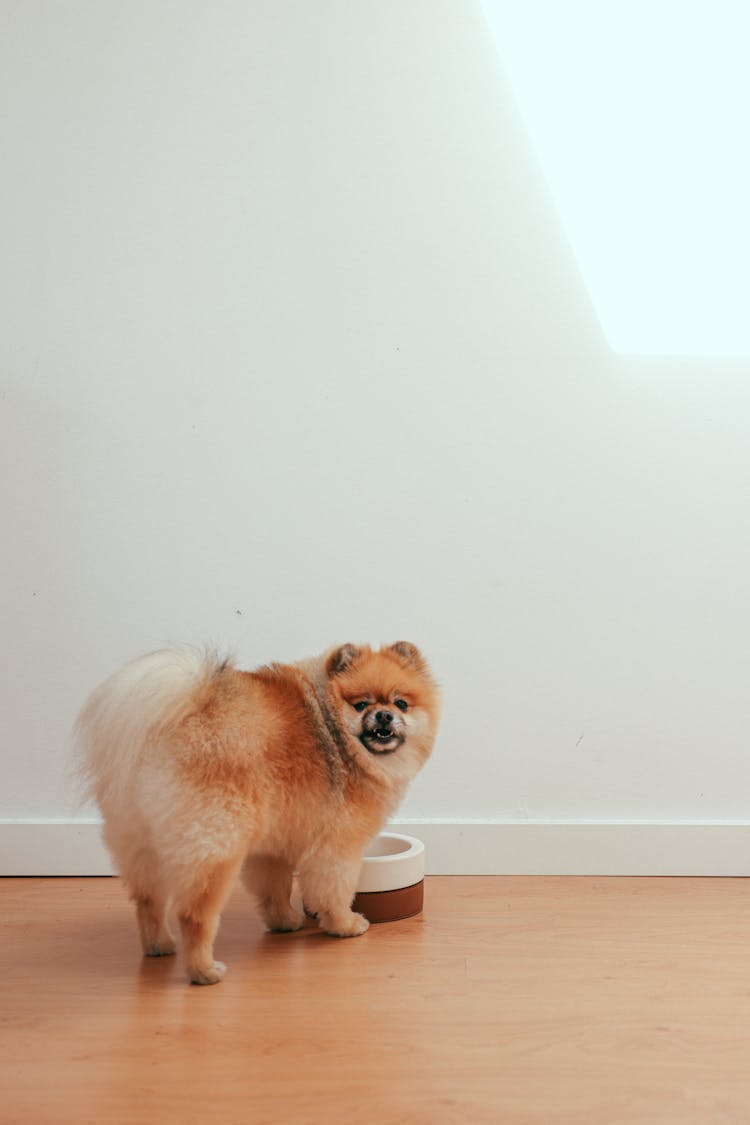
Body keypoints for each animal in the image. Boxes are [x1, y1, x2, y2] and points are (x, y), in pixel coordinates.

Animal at [74, 643, 440, 985]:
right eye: (361, 704)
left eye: (401, 703)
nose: (384, 716)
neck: (340, 739)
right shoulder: (337, 846)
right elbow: (334, 890)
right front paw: (344, 924)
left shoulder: (274, 843)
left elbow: (274, 889)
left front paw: (285, 922)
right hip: (215, 843)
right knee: (193, 915)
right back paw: (204, 971)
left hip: (140, 839)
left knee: (148, 901)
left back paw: (159, 945)